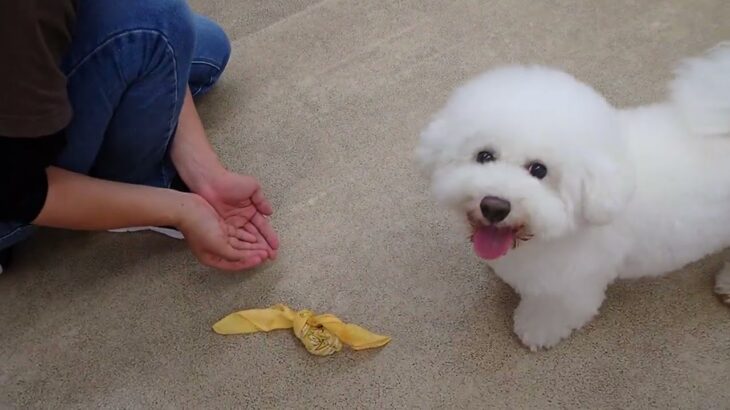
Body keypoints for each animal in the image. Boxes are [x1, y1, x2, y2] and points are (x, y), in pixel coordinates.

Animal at [416, 41, 728, 350]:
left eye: (539, 170)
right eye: (484, 156)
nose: (494, 206)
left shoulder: (570, 286)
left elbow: (554, 310)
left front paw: (536, 330)